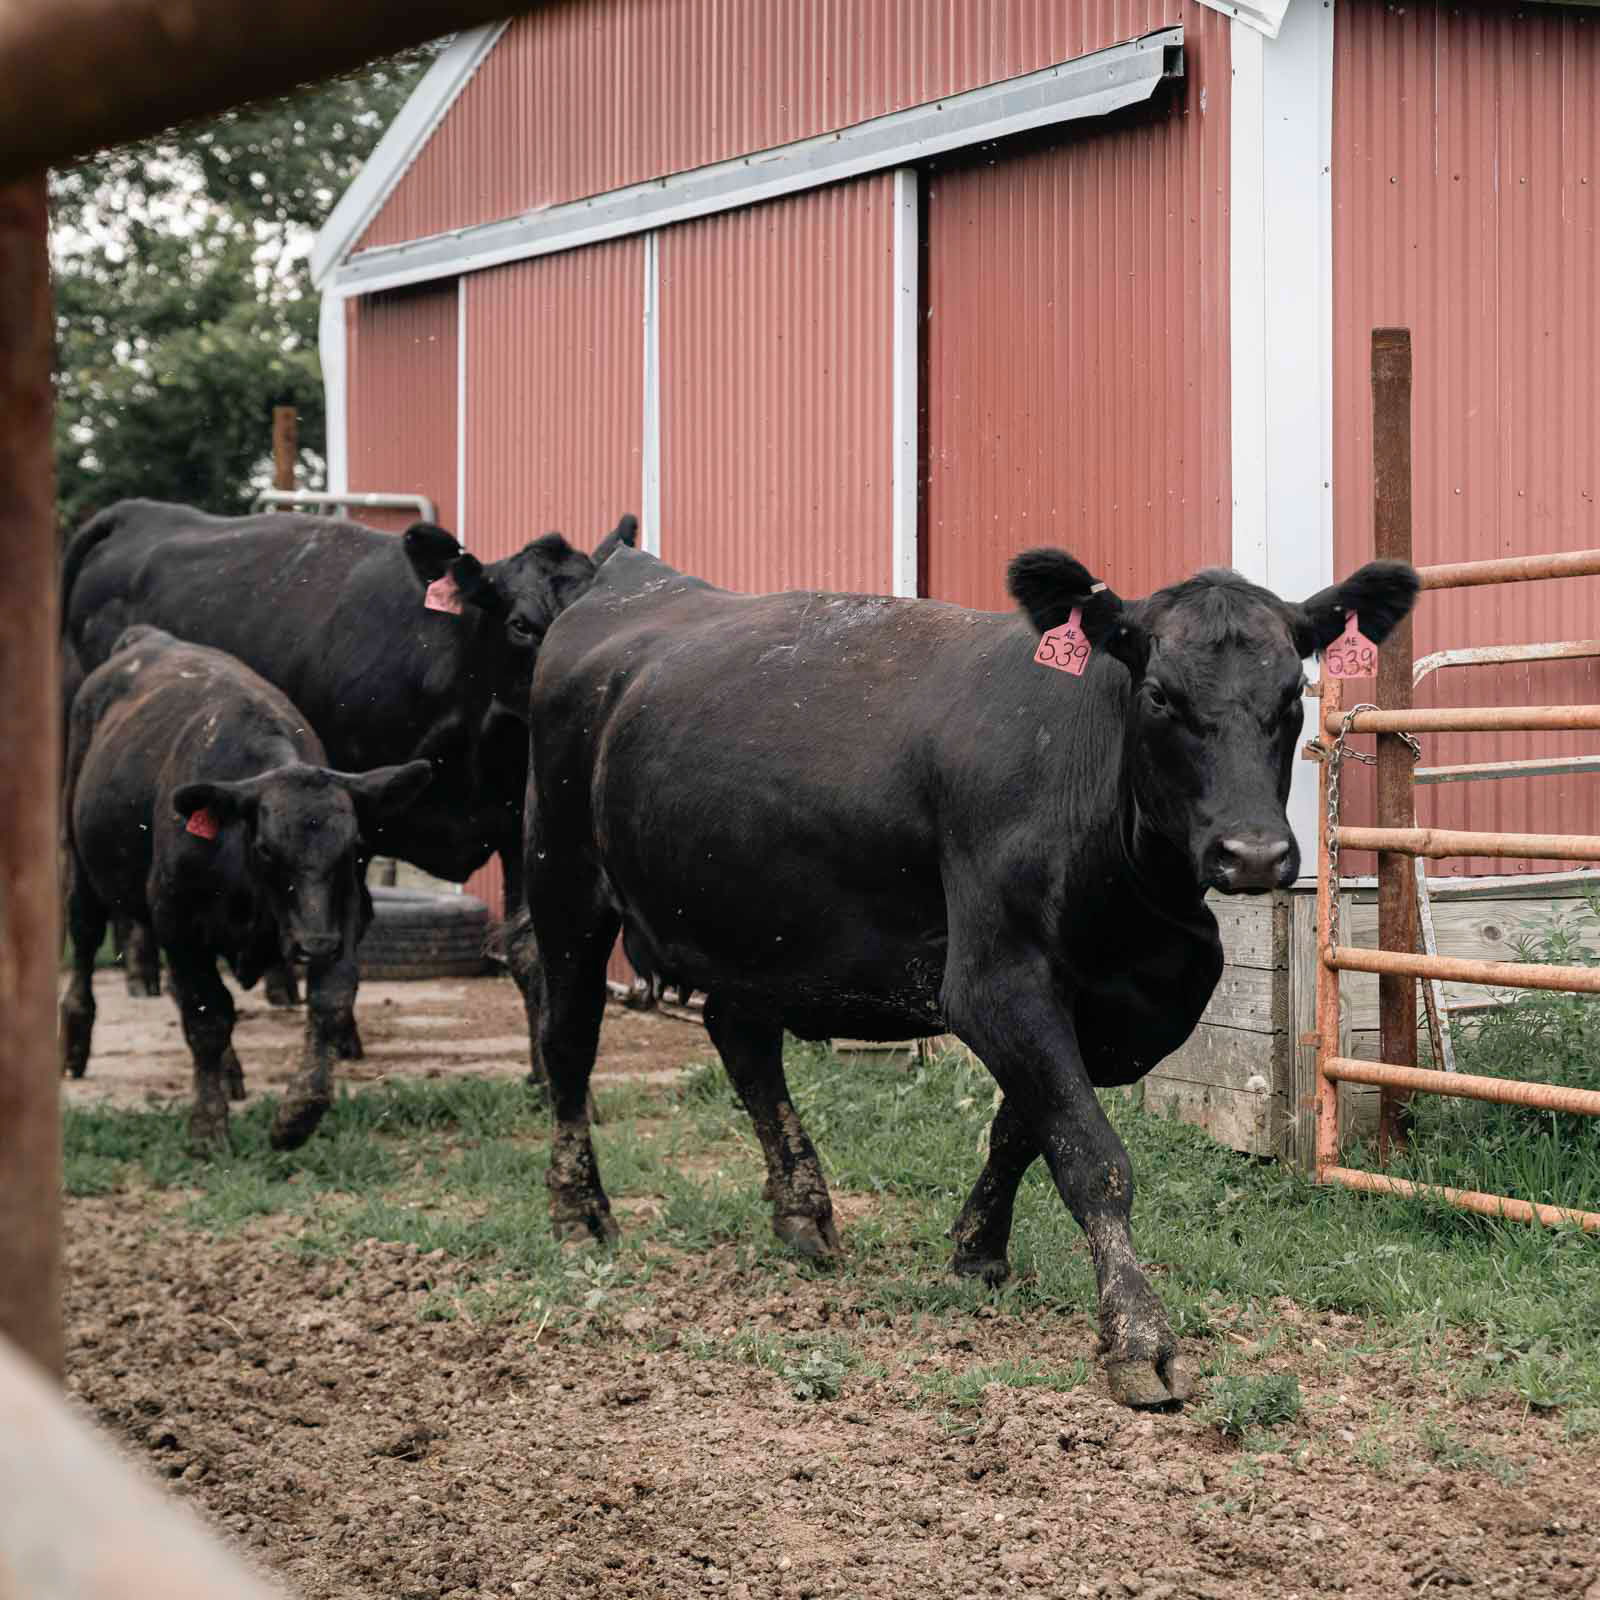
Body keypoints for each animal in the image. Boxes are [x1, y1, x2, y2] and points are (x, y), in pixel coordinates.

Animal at [60, 498, 638, 1050]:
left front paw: (540, 1069)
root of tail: (137, 511)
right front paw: (339, 1039)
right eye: (522, 625)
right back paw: (131, 983)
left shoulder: (517, 829)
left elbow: (529, 953)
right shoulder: (358, 823)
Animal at [60, 626, 433, 1151]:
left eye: (354, 845)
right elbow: (206, 1017)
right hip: (80, 858)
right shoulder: (178, 922)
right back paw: (76, 1039)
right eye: (265, 849)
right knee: (85, 937)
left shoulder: (345, 913)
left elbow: (330, 1003)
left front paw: (299, 1112)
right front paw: (207, 1126)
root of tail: (146, 638)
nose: (314, 944)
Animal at [521, 545, 1419, 1408]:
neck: (1134, 909)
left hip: (748, 919)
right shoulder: (993, 980)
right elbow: (1092, 1154)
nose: (1253, 854)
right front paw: (1139, 1339)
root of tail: (634, 577)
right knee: (568, 1037)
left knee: (741, 1038)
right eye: (1161, 696)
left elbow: (1023, 1127)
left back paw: (803, 1212)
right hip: (562, 876)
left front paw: (977, 1250)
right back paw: (579, 1211)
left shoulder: (1125, 1001)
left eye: (1293, 695)